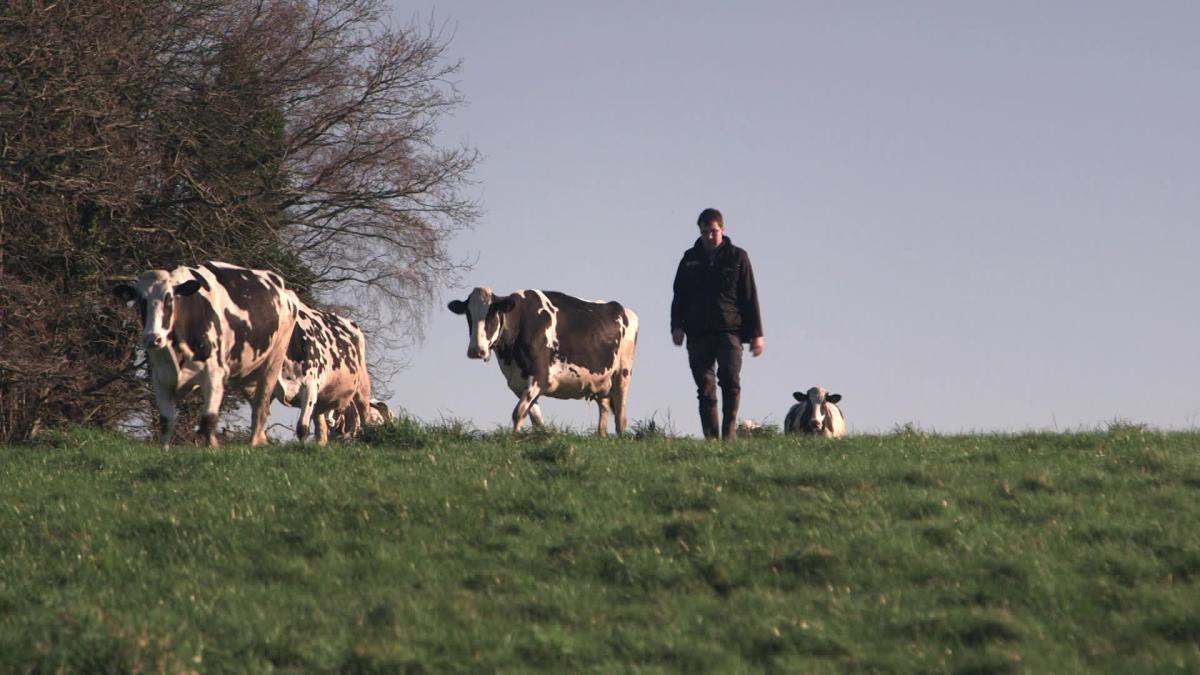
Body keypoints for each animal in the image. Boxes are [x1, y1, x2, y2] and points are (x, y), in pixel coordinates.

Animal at [113, 261, 300, 446]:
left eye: (169, 299)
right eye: (141, 301)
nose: (153, 338)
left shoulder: (215, 373)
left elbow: (208, 420)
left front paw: (213, 448)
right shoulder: (160, 378)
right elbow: (166, 422)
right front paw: (164, 449)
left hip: (273, 362)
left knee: (261, 405)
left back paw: (254, 442)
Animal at [448, 284, 638, 432]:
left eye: (491, 314)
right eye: (468, 315)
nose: (476, 350)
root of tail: (623, 309)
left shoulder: (539, 375)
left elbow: (518, 413)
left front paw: (512, 440)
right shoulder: (517, 382)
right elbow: (535, 419)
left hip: (623, 374)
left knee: (621, 418)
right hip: (601, 380)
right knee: (604, 409)